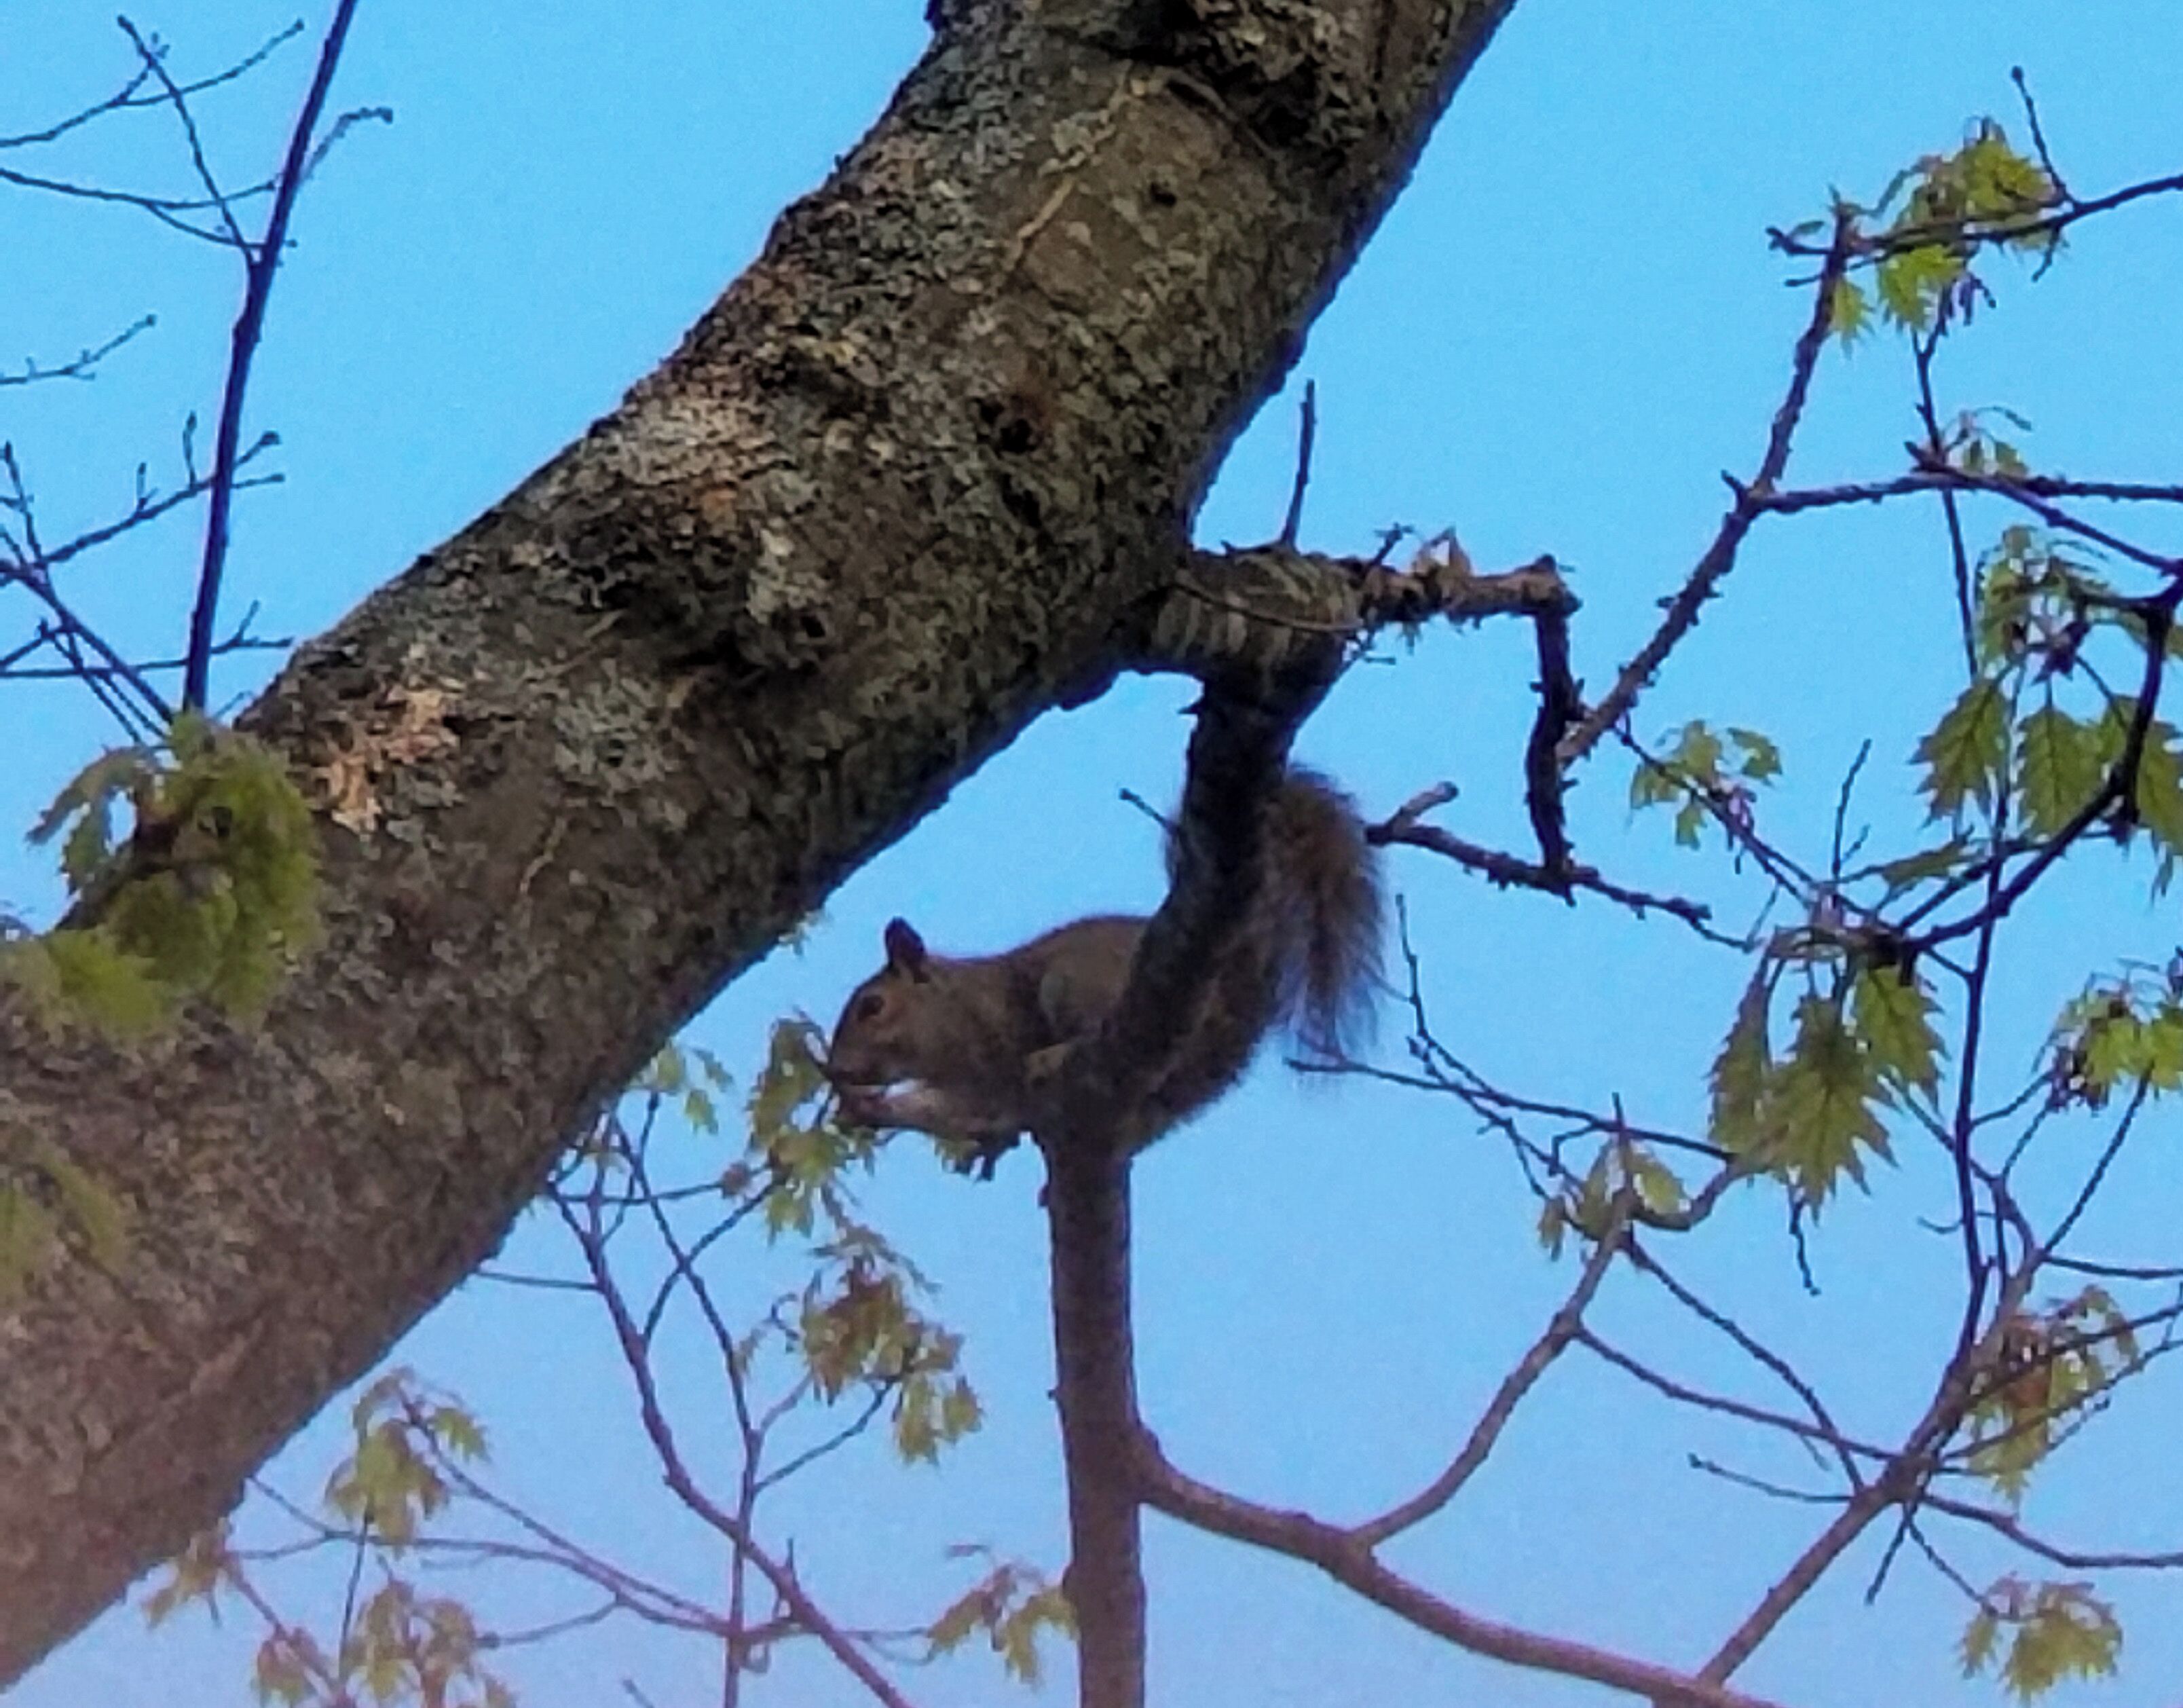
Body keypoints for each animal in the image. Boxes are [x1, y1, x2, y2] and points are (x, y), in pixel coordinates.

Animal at [826, 768, 1382, 1160]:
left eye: (872, 1006)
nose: (835, 1068)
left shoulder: (989, 1036)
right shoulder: (976, 1095)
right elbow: (949, 1116)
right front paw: (868, 1110)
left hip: (1077, 987)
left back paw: (1058, 1056)